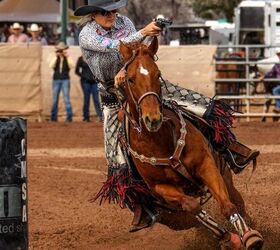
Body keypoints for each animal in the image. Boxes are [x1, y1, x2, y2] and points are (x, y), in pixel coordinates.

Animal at [118, 39, 262, 250]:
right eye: (130, 79)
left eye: (158, 74)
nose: (152, 118)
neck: (160, 143)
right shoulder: (161, 187)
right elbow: (193, 207)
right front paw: (228, 238)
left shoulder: (206, 165)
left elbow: (227, 205)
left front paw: (250, 236)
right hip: (172, 218)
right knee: (191, 218)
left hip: (226, 176)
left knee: (237, 201)